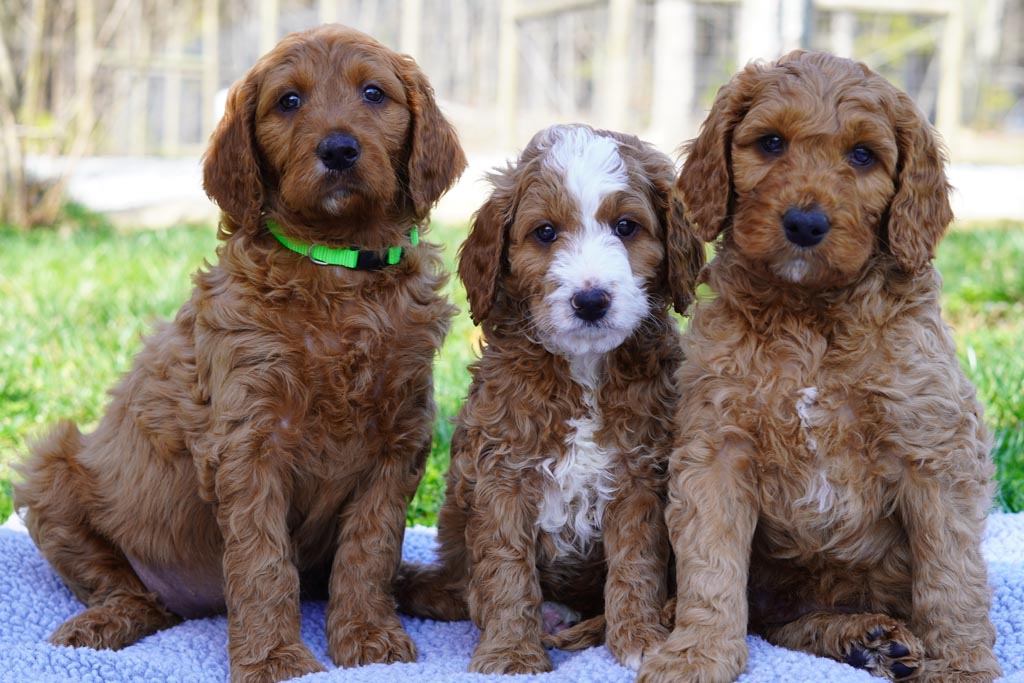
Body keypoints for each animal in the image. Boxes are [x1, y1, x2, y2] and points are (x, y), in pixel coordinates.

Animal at [14, 22, 464, 683]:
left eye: (374, 94)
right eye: (289, 101)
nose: (338, 150)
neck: (337, 271)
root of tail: (190, 600)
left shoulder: (398, 440)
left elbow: (371, 549)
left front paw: (368, 636)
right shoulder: (248, 442)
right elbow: (262, 561)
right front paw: (276, 659)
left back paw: (432, 588)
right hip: (50, 469)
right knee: (128, 590)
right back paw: (101, 623)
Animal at [391, 122, 704, 671]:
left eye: (626, 227)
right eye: (544, 233)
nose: (591, 300)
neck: (583, 367)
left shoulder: (639, 473)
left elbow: (637, 561)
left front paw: (639, 637)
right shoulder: (502, 471)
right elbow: (507, 568)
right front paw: (512, 653)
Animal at [638, 52, 999, 683]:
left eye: (863, 156)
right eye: (771, 143)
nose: (805, 223)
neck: (810, 315)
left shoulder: (933, 445)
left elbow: (950, 569)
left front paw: (961, 664)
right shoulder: (716, 446)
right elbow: (711, 562)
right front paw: (696, 653)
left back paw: (873, 638)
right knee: (773, 619)